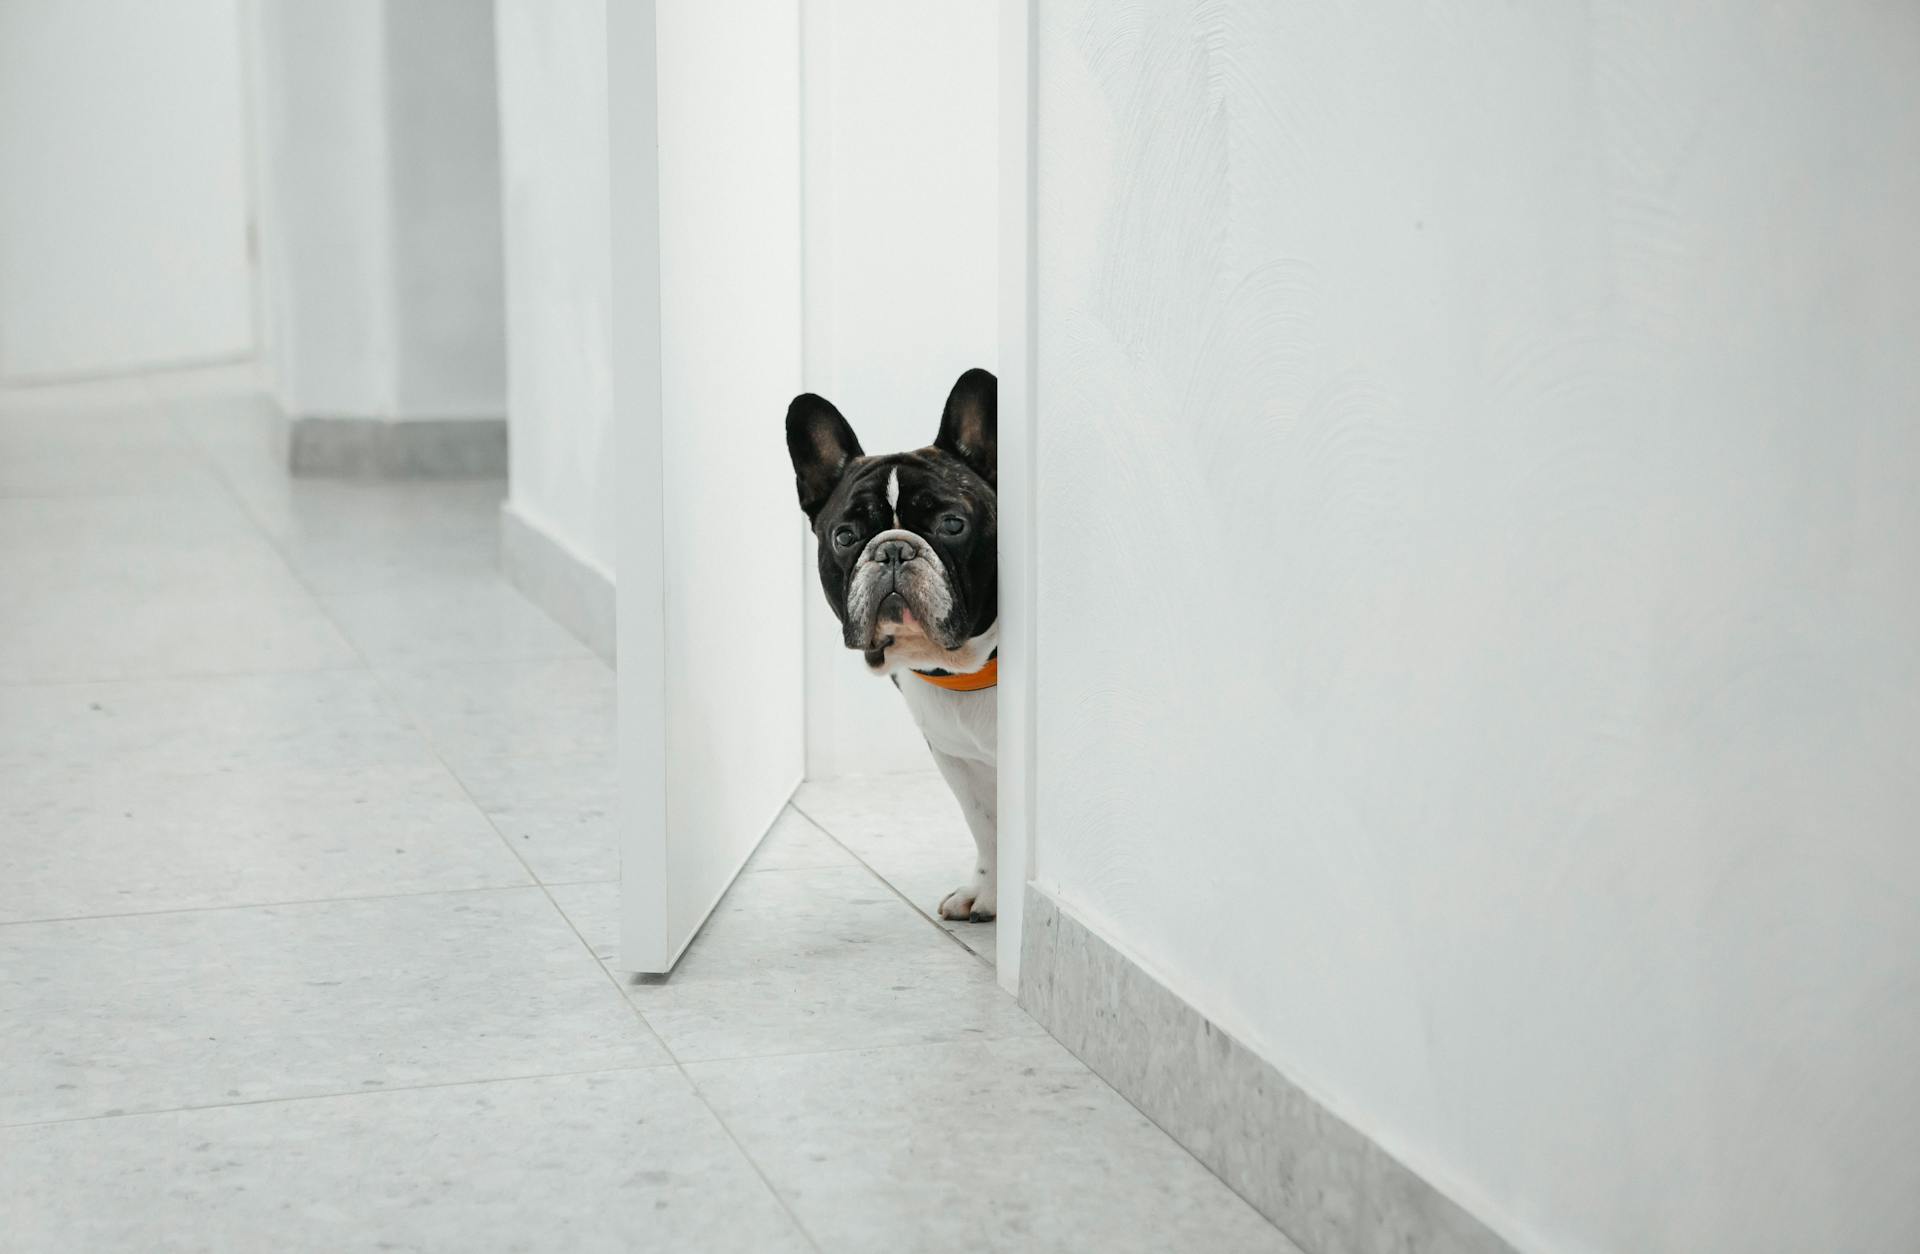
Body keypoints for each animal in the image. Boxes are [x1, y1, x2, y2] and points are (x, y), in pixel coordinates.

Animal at [783, 364, 998, 917]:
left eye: (952, 524)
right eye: (845, 536)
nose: (895, 550)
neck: (968, 665)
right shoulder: (956, 758)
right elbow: (984, 824)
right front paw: (987, 892)